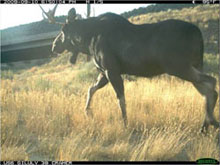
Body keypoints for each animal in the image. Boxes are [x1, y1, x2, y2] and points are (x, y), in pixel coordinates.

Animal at [40, 4, 218, 131]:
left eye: (63, 30)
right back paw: (205, 126)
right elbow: (91, 89)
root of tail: (199, 34)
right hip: (194, 65)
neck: (88, 41)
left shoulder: (111, 69)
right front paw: (88, 112)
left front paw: (125, 125)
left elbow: (121, 99)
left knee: (211, 83)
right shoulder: (104, 72)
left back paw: (211, 121)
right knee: (207, 90)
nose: (54, 46)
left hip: (178, 65)